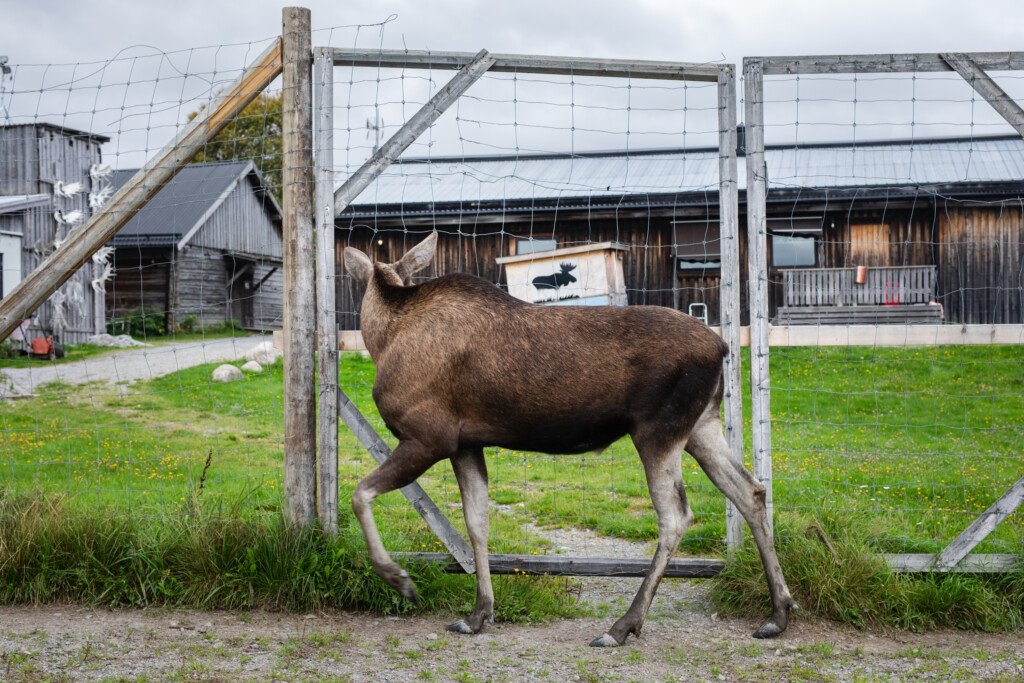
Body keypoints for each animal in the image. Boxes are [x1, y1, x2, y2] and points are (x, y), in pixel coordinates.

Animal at [346, 235, 798, 647]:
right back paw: (778, 612)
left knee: (676, 515)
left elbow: (360, 493)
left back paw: (622, 626)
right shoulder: (466, 444)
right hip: (702, 425)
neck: (384, 337)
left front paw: (399, 578)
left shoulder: (428, 436)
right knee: (750, 491)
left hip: (657, 429)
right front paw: (478, 614)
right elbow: (476, 524)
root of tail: (722, 346)